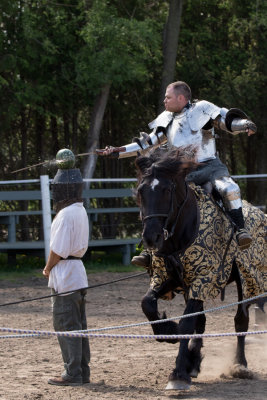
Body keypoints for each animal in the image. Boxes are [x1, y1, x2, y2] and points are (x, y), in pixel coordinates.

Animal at [136, 146, 267, 390]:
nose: (151, 237)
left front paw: (178, 373)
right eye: (141, 191)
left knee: (240, 321)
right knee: (203, 321)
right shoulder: (170, 279)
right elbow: (147, 303)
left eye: (167, 190)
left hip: (247, 279)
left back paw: (240, 365)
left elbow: (187, 323)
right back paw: (195, 362)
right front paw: (167, 331)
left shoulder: (204, 279)